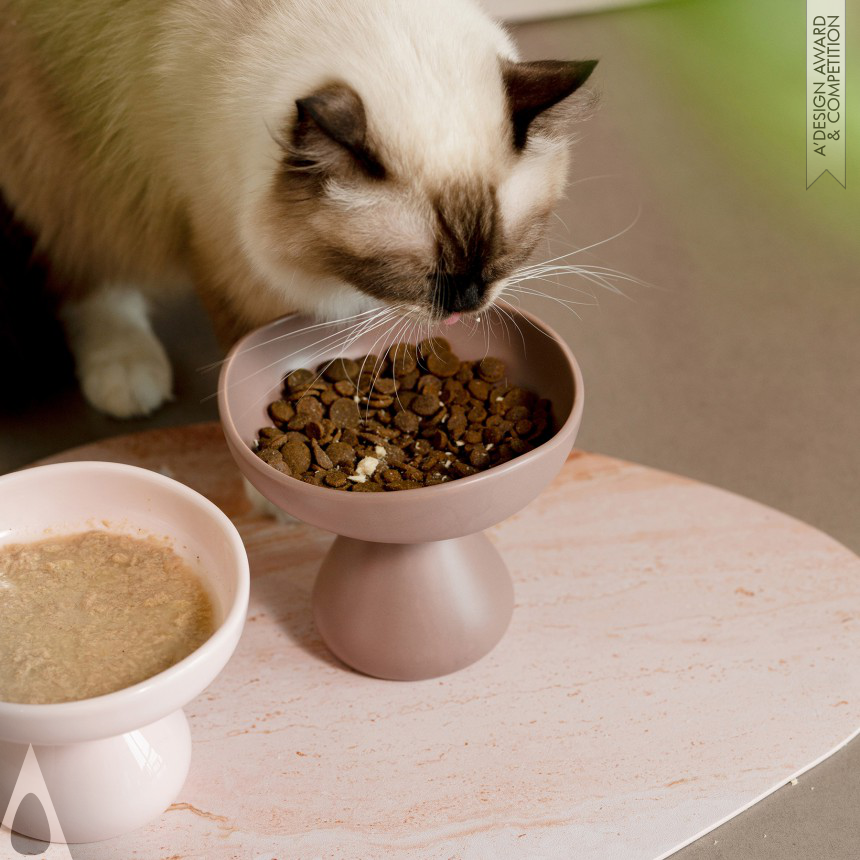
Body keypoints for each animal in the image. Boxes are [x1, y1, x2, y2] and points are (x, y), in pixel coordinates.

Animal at [0, 0, 596, 416]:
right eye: (417, 275)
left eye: (505, 255)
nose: (466, 303)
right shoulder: (224, 249)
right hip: (70, 153)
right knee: (87, 267)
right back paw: (126, 372)